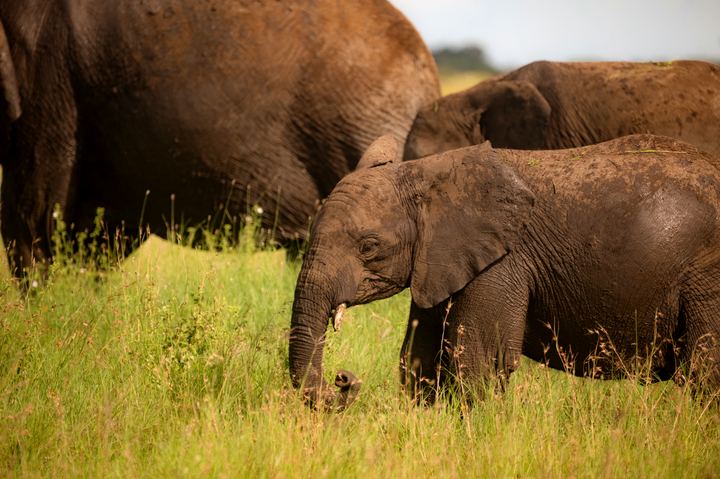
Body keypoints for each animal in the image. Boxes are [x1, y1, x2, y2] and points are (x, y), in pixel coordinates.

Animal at [289, 134, 720, 409]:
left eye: (369, 247)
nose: (343, 380)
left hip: (706, 276)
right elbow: (418, 357)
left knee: (705, 371)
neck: (428, 173)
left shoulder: (502, 262)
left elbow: (479, 358)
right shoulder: (443, 258)